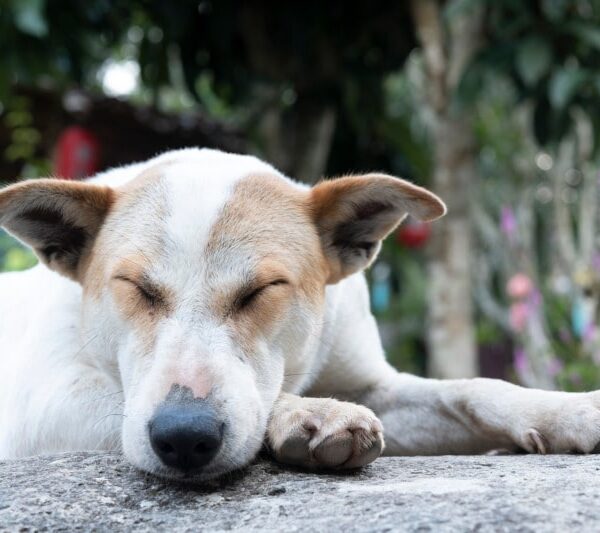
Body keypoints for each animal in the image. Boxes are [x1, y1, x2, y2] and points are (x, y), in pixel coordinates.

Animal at [1, 148, 600, 480]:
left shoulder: (372, 382)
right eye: (136, 288)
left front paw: (566, 411)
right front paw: (305, 412)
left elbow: (472, 390)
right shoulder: (42, 406)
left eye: (262, 290)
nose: (184, 438)